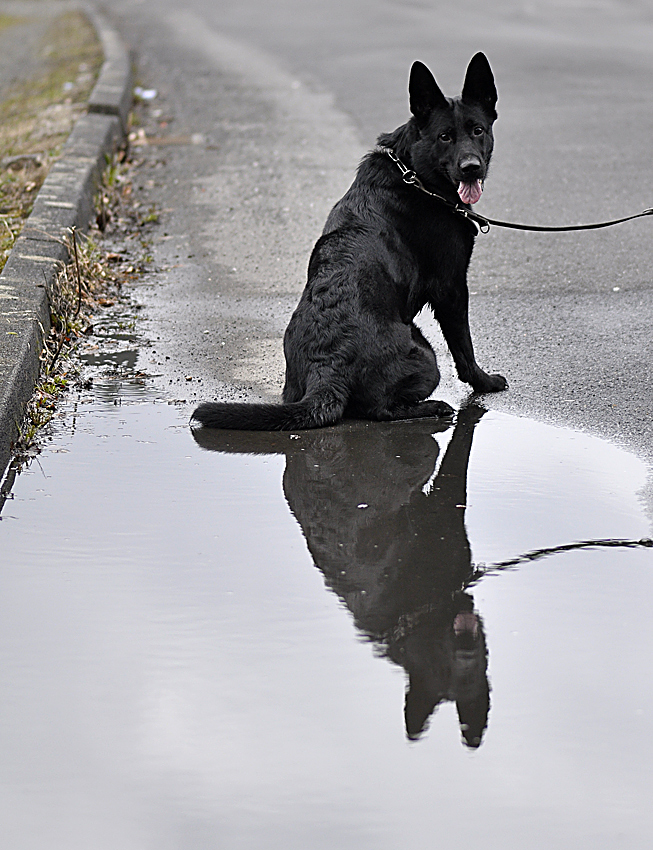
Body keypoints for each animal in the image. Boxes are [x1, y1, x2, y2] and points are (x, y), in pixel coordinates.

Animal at [191, 51, 506, 430]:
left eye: (478, 130)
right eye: (445, 137)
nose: (471, 167)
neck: (415, 174)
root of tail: (326, 366)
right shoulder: (452, 288)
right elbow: (464, 347)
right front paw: (483, 381)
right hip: (424, 353)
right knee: (380, 410)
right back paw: (432, 407)